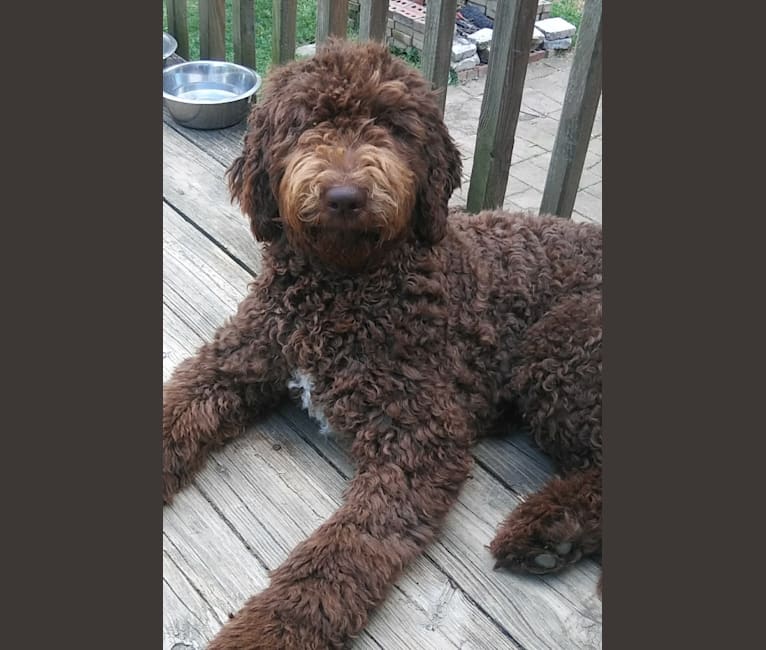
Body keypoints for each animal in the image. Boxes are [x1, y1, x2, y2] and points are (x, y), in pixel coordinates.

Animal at [164, 39, 608, 648]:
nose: (345, 196)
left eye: (392, 126)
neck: (342, 288)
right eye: (307, 123)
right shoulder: (235, 359)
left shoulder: (418, 443)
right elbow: (177, 411)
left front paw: (266, 631)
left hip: (562, 345)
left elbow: (336, 560)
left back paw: (545, 531)